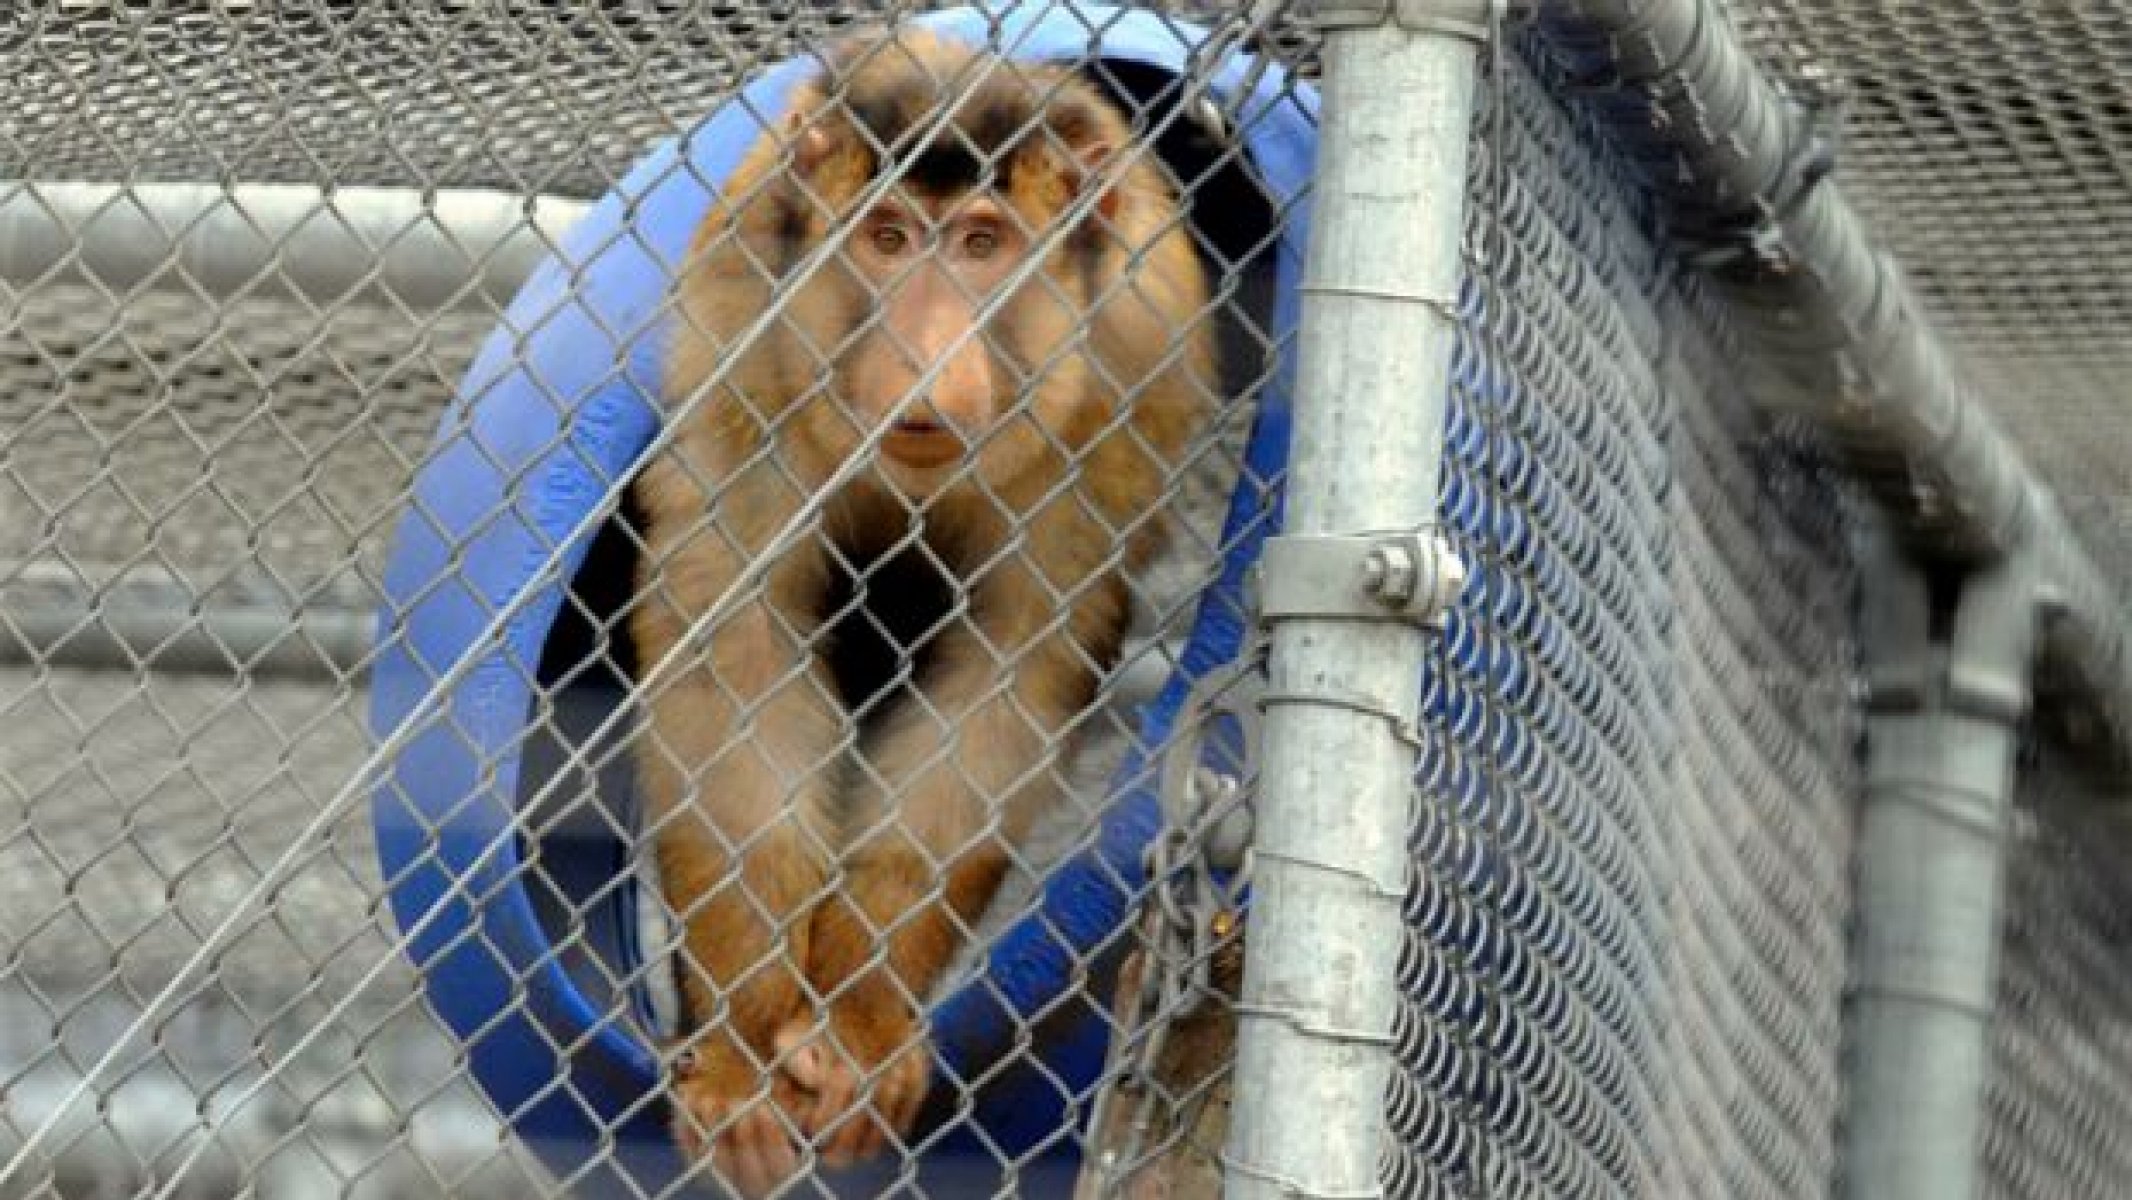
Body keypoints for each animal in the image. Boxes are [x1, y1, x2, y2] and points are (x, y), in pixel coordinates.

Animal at [622, 25, 1219, 1193]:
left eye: (982, 245)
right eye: (890, 239)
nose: (925, 351)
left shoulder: (1122, 372)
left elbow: (1011, 670)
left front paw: (854, 1031)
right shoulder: (746, 329)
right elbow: (738, 649)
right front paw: (745, 1053)